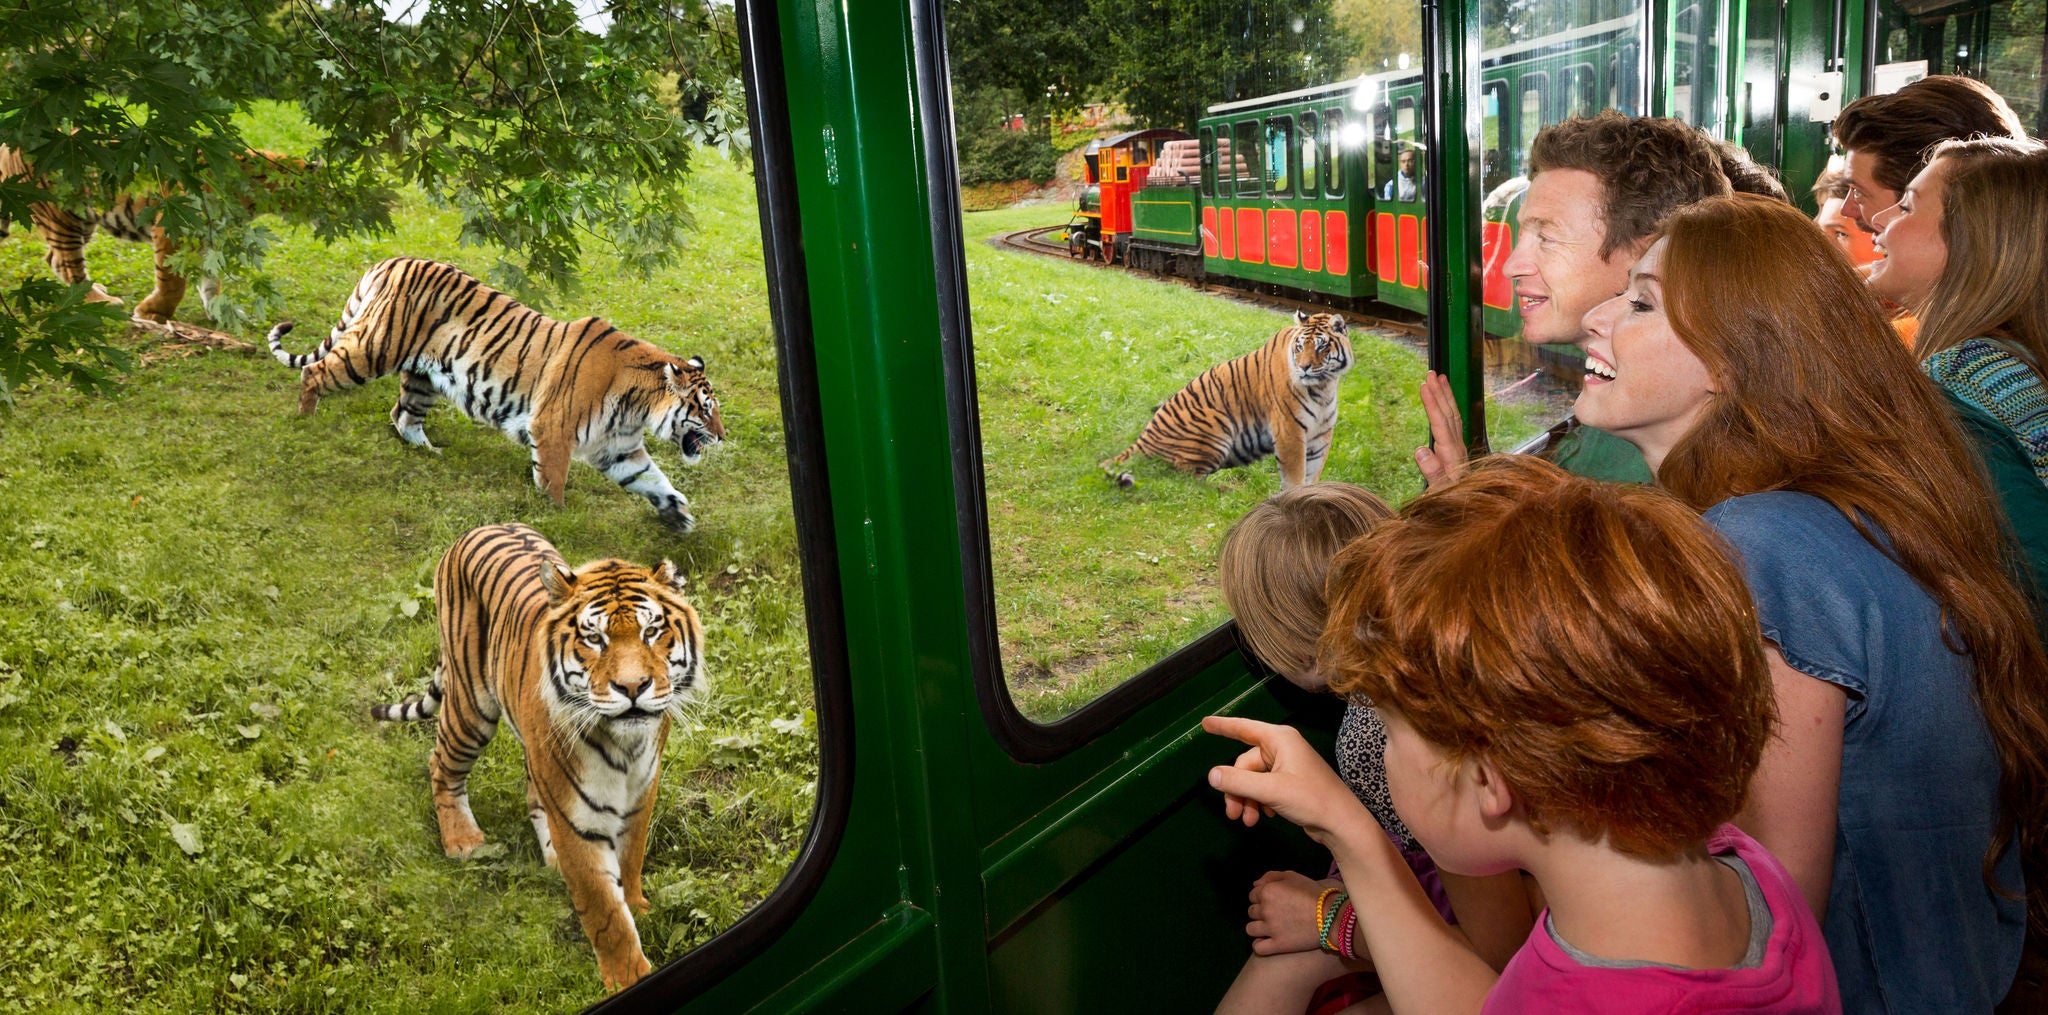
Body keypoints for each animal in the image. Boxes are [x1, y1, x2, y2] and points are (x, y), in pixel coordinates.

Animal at [1, 143, 315, 321]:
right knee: (67, 264)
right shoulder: (174, 231)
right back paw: (102, 302)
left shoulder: (213, 238)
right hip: (62, 215)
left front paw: (220, 313)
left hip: (82, 220)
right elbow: (174, 282)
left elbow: (211, 282)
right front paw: (153, 313)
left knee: (54, 260)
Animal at [268, 255, 724, 532]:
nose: (722, 437)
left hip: (421, 377)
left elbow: (653, 479)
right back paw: (305, 421)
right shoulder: (553, 430)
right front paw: (555, 519)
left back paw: (431, 454)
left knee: (403, 416)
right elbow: (553, 481)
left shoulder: (618, 448)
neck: (637, 407)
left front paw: (678, 514)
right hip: (373, 350)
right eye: (704, 409)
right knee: (313, 372)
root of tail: (390, 261)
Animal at [370, 523, 712, 990]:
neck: (626, 747)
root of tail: (477, 529)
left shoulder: (641, 799)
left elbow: (631, 862)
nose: (632, 687)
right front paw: (629, 977)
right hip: (471, 706)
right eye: (594, 638)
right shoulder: (579, 822)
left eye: (651, 632)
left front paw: (639, 906)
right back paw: (462, 840)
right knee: (440, 764)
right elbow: (606, 913)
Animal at [1097, 311, 1351, 489]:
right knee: (1183, 479)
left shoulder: (1321, 434)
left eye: (1320, 346)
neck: (1323, 387)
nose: (1304, 367)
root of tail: (1144, 436)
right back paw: (1227, 489)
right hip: (1215, 427)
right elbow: (1295, 475)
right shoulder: (1289, 431)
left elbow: (1312, 473)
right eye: (1299, 347)